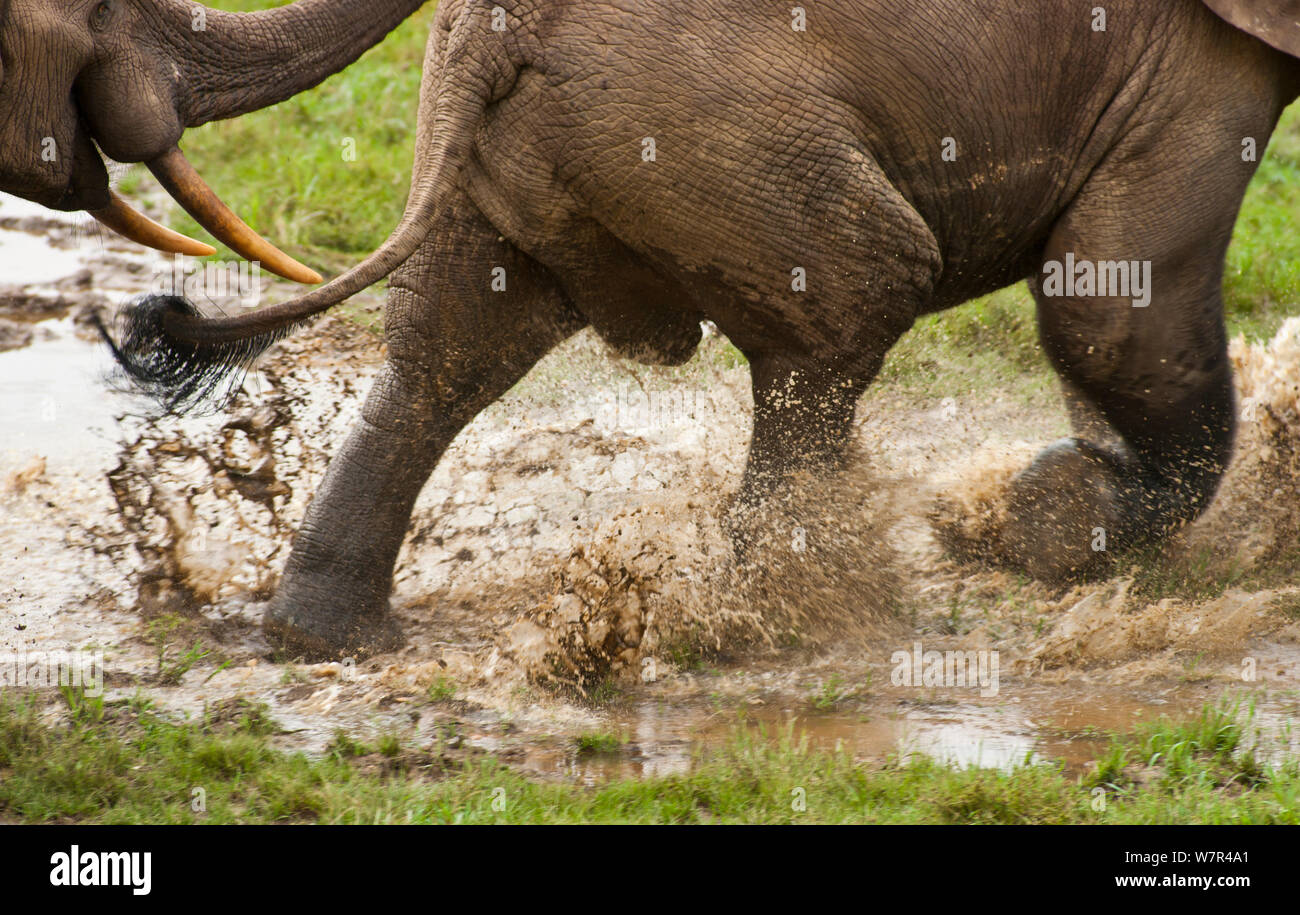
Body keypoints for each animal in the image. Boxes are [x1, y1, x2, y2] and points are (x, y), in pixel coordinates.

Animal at [10, 0, 1300, 657]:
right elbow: (1111, 302)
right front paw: (1046, 524)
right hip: (710, 124)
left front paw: (1025, 518)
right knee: (850, 308)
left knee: (446, 352)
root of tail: (487, 33)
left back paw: (322, 638)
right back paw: (786, 621)